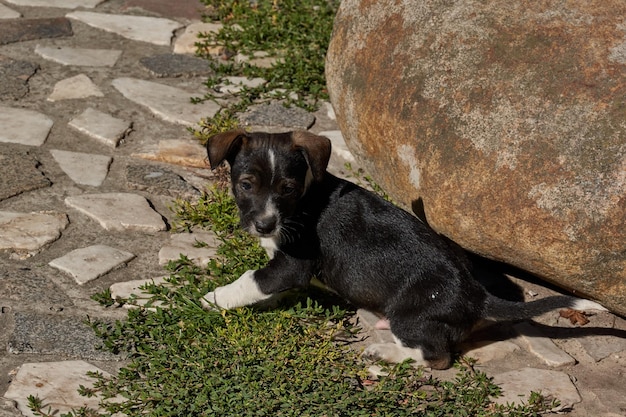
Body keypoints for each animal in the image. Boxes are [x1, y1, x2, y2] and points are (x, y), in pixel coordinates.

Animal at [201, 129, 604, 368]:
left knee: (435, 357)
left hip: (411, 317)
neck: (301, 203)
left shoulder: (293, 264)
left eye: (287, 188)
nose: (264, 225)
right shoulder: (286, 269)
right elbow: (265, 285)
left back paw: (385, 352)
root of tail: (477, 297)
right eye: (246, 184)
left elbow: (249, 280)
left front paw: (212, 298)